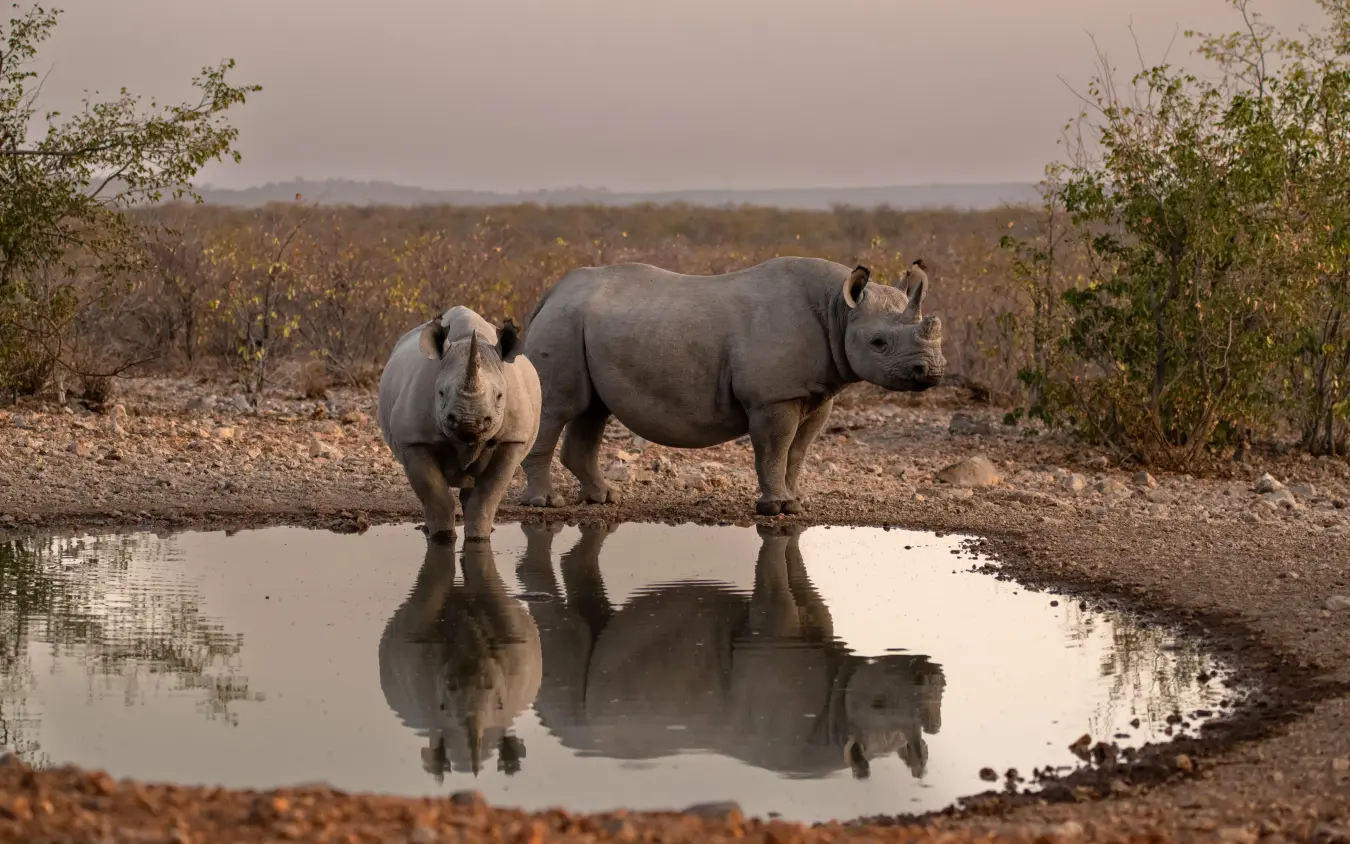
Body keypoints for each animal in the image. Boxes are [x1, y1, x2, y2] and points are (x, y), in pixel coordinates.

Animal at [378, 306, 541, 540]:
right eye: (441, 393)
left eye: (500, 396)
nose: (470, 422)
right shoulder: (413, 440)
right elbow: (436, 496)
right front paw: (441, 537)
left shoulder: (512, 439)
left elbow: (487, 497)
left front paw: (478, 537)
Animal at [515, 522, 946, 779]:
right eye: (877, 702)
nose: (930, 677)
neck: (836, 722)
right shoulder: (772, 632)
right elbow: (779, 587)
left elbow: (802, 585)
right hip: (568, 711)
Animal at [518, 257, 945, 515]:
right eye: (878, 343)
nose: (933, 371)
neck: (838, 310)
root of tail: (552, 292)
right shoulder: (773, 396)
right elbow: (775, 448)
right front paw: (777, 507)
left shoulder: (817, 392)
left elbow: (799, 451)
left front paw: (796, 501)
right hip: (564, 323)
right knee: (556, 407)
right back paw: (545, 503)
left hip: (582, 324)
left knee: (592, 410)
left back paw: (602, 499)